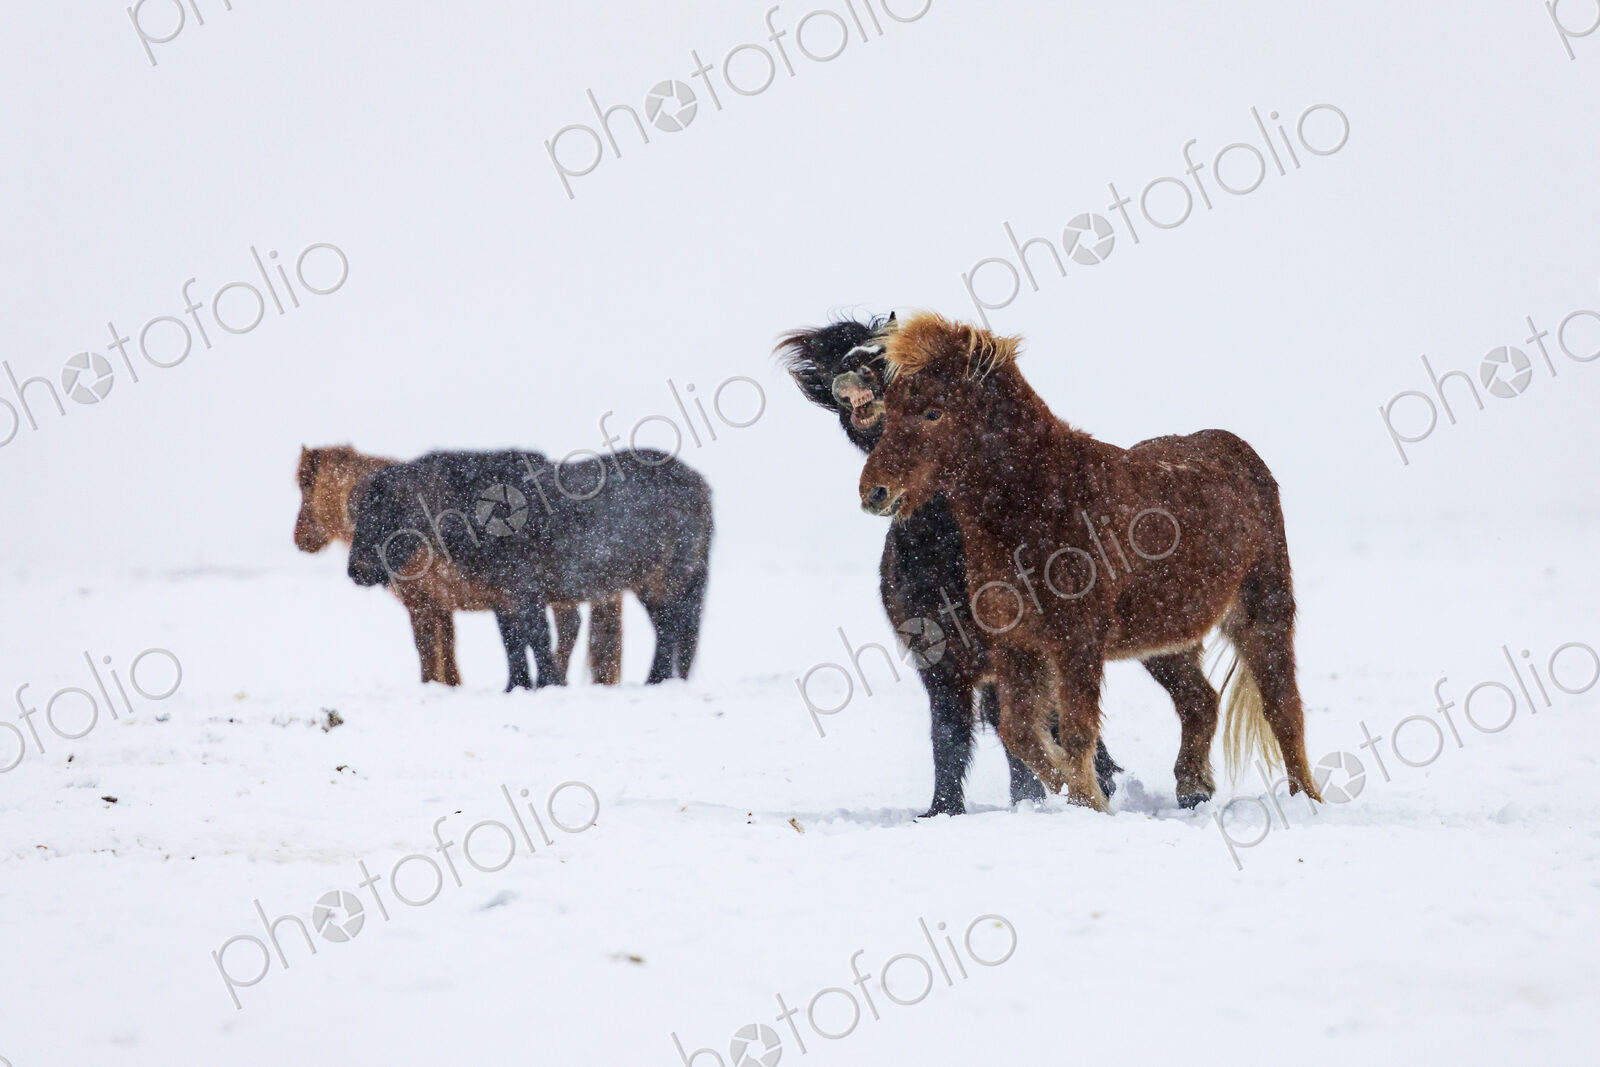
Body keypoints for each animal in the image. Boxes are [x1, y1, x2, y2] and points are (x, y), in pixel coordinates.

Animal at [295, 445, 622, 686]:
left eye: (306, 491)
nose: (299, 539)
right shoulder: (443, 605)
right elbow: (448, 652)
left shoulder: (422, 604)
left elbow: (428, 651)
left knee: (567, 629)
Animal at [346, 448, 712, 689]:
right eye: (359, 513)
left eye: (386, 512)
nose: (355, 571)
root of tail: (700, 484)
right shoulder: (503, 599)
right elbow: (513, 644)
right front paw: (517, 687)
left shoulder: (528, 593)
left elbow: (536, 638)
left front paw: (549, 684)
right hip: (649, 584)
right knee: (668, 629)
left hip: (670, 579)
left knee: (671, 629)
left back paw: (655, 682)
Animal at [777, 315, 1121, 816]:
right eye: (845, 351)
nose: (856, 362)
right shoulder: (938, 658)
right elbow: (950, 735)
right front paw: (942, 811)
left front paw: (1035, 801)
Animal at [858, 312, 1323, 812]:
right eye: (888, 409)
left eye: (933, 412)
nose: (874, 492)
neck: (1040, 502)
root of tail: (1241, 451)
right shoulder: (1017, 645)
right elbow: (1020, 732)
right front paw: (1084, 795)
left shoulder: (1076, 641)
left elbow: (1076, 732)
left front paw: (1090, 803)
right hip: (1164, 639)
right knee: (1200, 701)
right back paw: (1193, 788)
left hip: (1263, 610)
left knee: (1283, 709)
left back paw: (1306, 799)